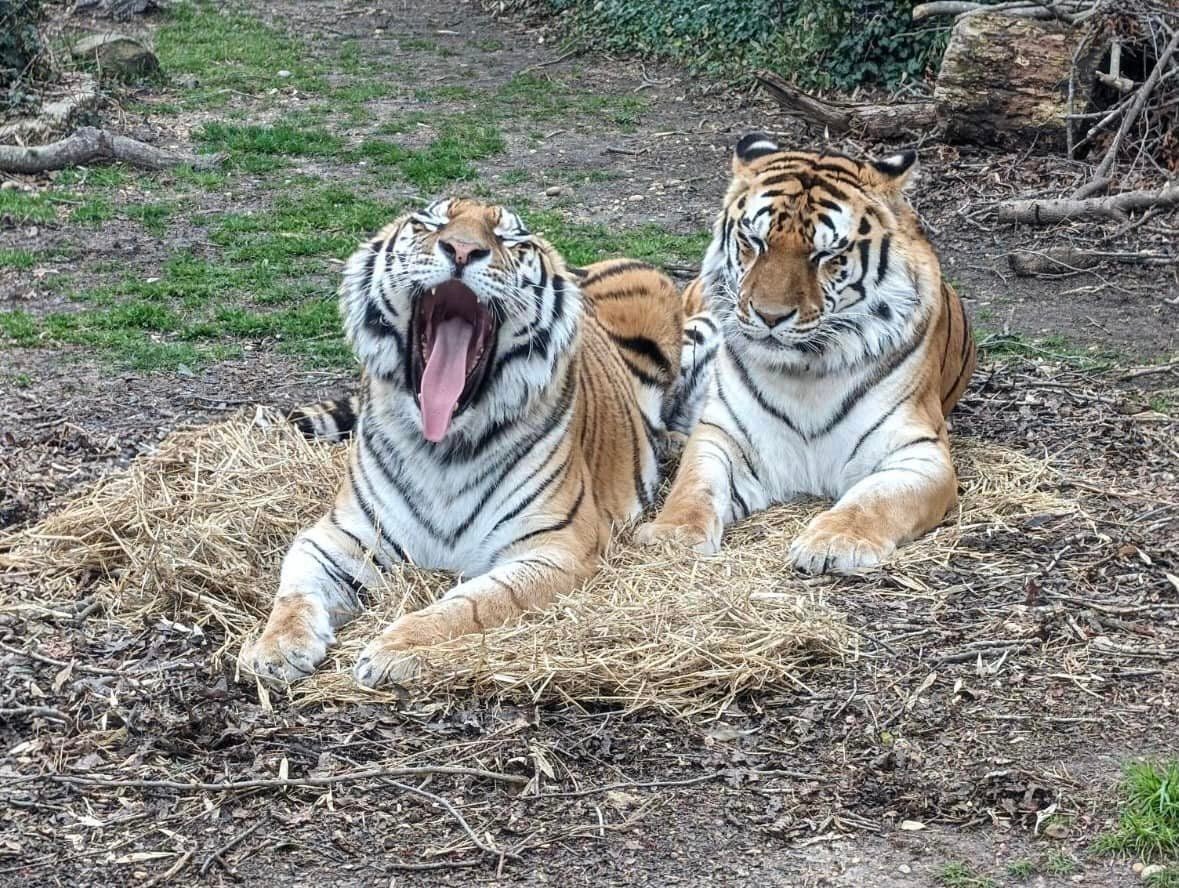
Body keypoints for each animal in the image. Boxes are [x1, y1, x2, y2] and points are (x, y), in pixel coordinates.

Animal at [248, 199, 716, 683]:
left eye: (508, 238)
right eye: (432, 223)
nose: (461, 250)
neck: (439, 446)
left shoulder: (555, 547)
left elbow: (471, 604)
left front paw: (393, 648)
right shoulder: (340, 534)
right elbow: (296, 585)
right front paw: (277, 648)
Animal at [636, 134, 976, 570]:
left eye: (826, 256)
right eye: (754, 242)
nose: (769, 315)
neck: (805, 373)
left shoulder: (919, 452)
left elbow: (875, 500)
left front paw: (835, 541)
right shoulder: (722, 436)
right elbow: (693, 487)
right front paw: (672, 534)